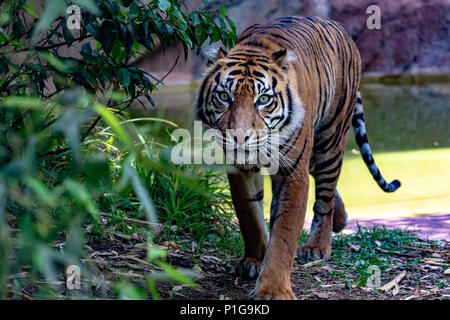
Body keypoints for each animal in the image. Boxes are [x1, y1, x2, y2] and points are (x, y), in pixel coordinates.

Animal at [193, 15, 400, 300]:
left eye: (263, 99)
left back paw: (317, 246)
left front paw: (273, 289)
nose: (240, 137)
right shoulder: (240, 170)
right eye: (224, 96)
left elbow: (285, 233)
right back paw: (341, 219)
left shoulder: (294, 173)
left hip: (329, 140)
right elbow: (249, 215)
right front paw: (255, 259)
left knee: (325, 197)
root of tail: (340, 28)